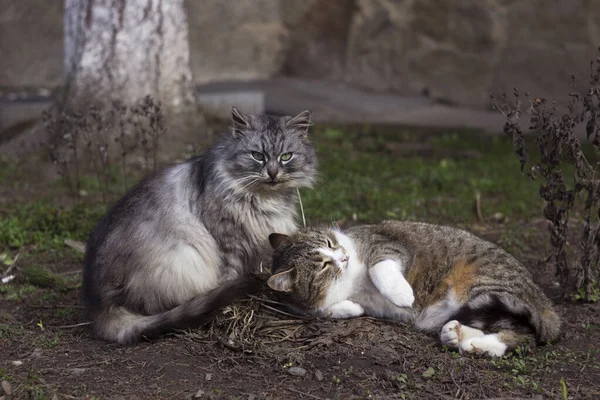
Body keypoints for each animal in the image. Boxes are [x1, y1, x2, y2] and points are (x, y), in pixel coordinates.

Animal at [85, 107, 318, 344]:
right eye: (257, 156)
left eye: (286, 156)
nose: (272, 173)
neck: (264, 199)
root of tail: (100, 302)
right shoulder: (228, 242)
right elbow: (230, 274)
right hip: (181, 258)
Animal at [264, 222, 560, 356]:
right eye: (323, 265)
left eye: (329, 242)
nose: (343, 257)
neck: (346, 278)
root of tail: (546, 304)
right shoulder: (304, 304)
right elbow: (321, 310)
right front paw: (351, 307)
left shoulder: (386, 245)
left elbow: (379, 267)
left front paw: (402, 293)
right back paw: (459, 336)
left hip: (482, 284)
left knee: (525, 336)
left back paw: (475, 343)